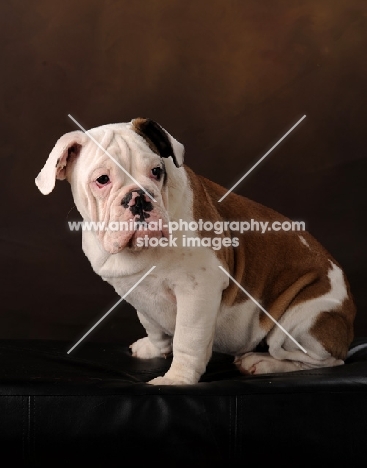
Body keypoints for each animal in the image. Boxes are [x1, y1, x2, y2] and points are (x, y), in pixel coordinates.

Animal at [35, 117, 356, 384]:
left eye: (157, 172)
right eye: (102, 180)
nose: (140, 197)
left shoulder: (198, 289)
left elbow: (188, 340)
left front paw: (176, 379)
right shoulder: (137, 292)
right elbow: (152, 324)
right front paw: (154, 348)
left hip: (303, 320)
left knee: (322, 360)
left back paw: (261, 362)